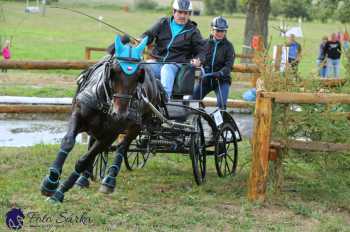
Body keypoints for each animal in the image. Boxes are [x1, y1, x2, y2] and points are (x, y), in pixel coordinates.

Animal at [40, 35, 154, 202]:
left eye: (139, 75)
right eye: (114, 71)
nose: (120, 115)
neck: (105, 101)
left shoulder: (111, 134)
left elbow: (84, 160)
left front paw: (59, 192)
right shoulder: (78, 116)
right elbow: (68, 142)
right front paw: (51, 182)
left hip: (135, 128)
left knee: (122, 148)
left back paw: (109, 180)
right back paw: (84, 179)